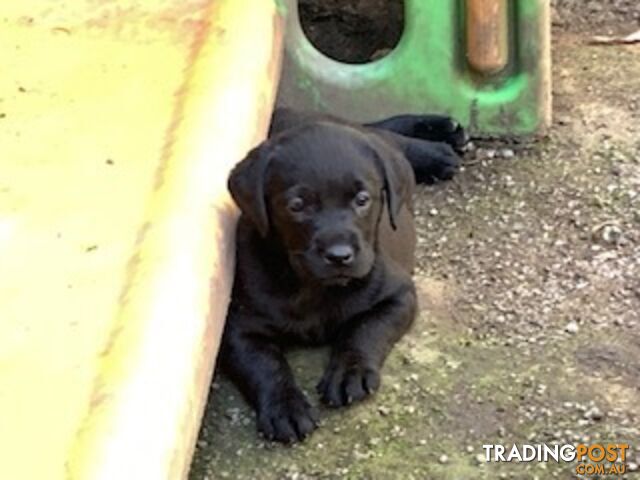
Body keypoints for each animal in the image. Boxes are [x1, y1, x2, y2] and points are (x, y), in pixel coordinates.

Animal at [220, 108, 464, 442]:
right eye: (297, 205)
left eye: (362, 199)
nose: (339, 256)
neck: (312, 286)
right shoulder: (238, 326)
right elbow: (263, 363)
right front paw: (285, 406)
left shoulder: (399, 295)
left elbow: (364, 329)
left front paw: (351, 372)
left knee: (390, 137)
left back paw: (438, 148)